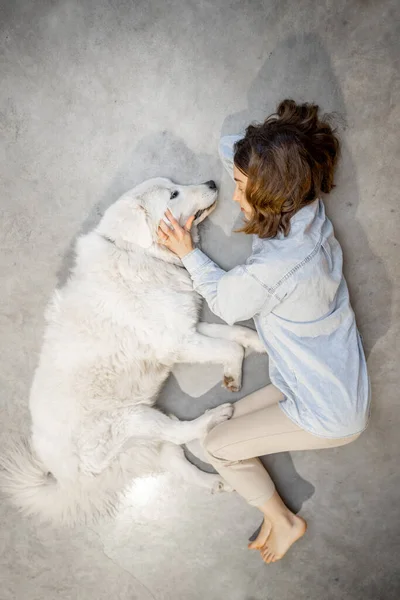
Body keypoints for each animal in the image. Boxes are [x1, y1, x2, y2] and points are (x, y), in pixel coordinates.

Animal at [0, 178, 266, 524]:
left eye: (175, 185)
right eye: (173, 194)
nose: (211, 182)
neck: (140, 253)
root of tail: (67, 482)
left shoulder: (189, 328)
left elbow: (237, 333)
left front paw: (260, 342)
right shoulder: (180, 343)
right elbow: (231, 347)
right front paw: (234, 375)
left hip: (144, 439)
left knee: (177, 457)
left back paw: (216, 482)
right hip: (134, 419)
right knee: (179, 433)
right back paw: (214, 418)